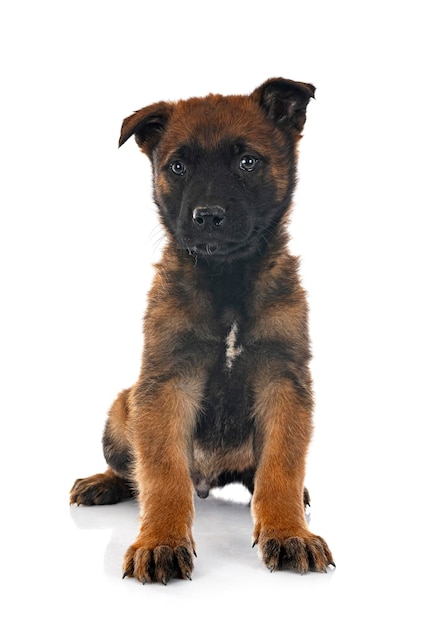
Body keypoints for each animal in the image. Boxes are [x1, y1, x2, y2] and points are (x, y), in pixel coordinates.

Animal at [70, 78, 334, 580]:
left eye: (247, 161)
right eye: (177, 166)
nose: (207, 216)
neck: (226, 278)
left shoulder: (284, 383)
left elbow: (281, 469)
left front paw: (289, 531)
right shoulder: (166, 385)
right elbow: (162, 474)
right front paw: (160, 541)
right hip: (122, 410)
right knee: (132, 471)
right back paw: (104, 483)